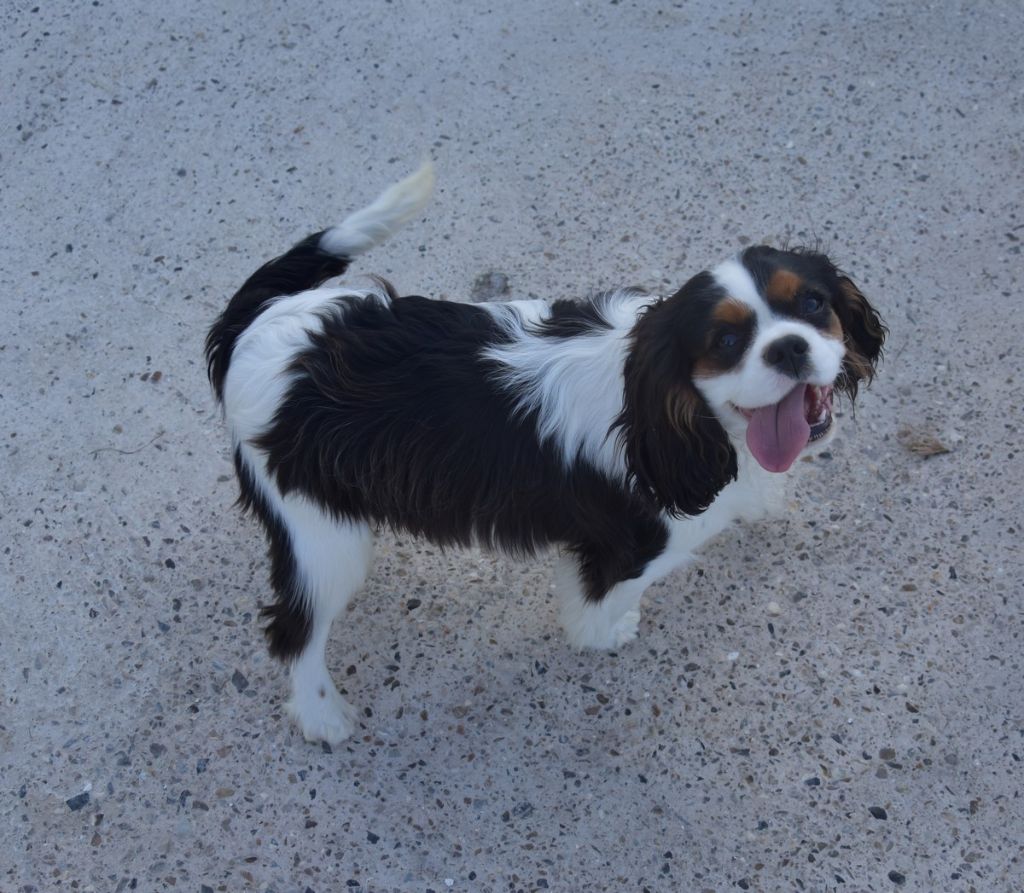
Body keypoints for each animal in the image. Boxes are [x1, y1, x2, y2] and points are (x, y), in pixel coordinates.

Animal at [206, 163, 886, 744]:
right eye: (724, 340)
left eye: (812, 304)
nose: (790, 347)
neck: (685, 416)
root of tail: (259, 324)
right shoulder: (628, 550)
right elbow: (603, 602)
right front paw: (603, 636)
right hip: (319, 534)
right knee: (295, 630)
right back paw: (322, 715)